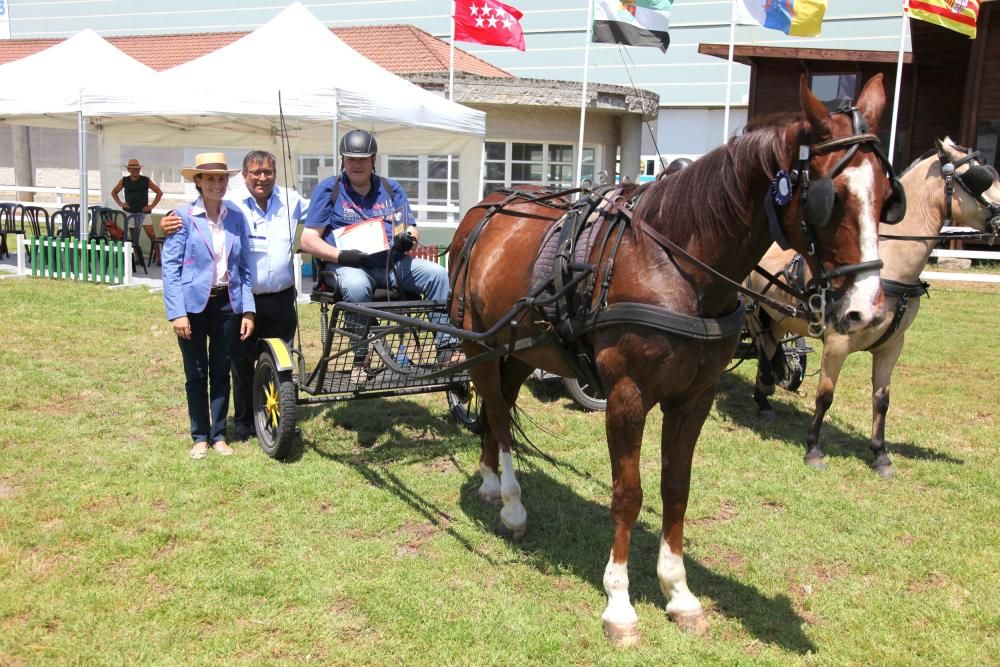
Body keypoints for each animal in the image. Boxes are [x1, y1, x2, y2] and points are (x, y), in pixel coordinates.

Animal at [446, 75, 892, 644]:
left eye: (887, 196)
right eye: (827, 197)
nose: (867, 310)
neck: (675, 264)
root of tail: (486, 209)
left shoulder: (693, 398)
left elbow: (676, 489)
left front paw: (678, 592)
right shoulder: (626, 397)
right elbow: (628, 493)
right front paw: (619, 603)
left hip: (520, 351)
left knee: (496, 409)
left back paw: (488, 481)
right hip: (478, 345)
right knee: (500, 418)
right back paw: (510, 502)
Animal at [748, 138, 996, 478]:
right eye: (980, 178)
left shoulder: (892, 345)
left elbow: (882, 400)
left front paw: (880, 455)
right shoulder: (837, 341)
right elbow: (825, 395)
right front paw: (814, 450)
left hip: (777, 316)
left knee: (769, 348)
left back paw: (764, 399)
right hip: (757, 312)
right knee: (763, 349)